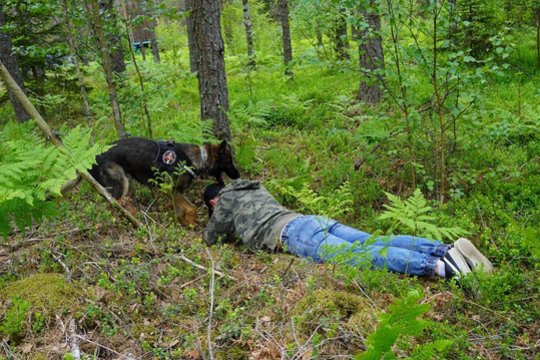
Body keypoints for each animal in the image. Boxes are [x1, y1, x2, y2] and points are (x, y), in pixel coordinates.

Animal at [89, 136, 240, 224]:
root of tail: (94, 158)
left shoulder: (177, 192)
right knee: (111, 205)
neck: (200, 158)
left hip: (129, 183)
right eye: (229, 161)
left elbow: (183, 210)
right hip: (122, 184)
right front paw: (191, 224)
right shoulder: (170, 190)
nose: (238, 175)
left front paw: (183, 223)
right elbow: (192, 208)